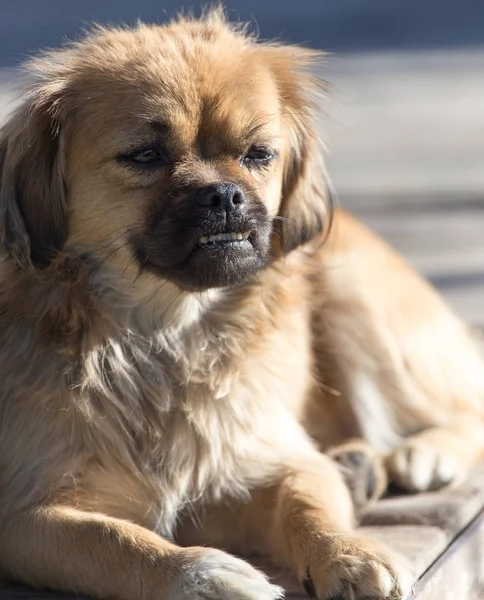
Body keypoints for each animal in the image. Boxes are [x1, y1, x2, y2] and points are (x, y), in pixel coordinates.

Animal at [0, 9, 482, 600]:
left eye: (258, 155)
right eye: (145, 156)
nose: (223, 194)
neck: (163, 334)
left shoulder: (266, 462)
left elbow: (307, 504)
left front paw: (350, 553)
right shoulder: (25, 514)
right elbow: (113, 540)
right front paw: (205, 575)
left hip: (357, 303)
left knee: (464, 406)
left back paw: (421, 453)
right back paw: (359, 466)